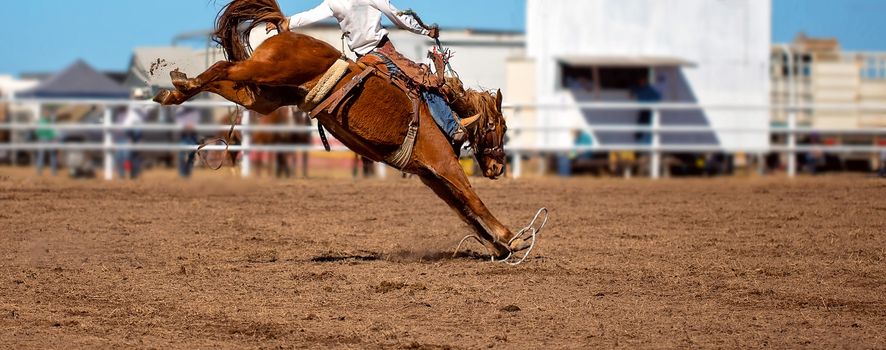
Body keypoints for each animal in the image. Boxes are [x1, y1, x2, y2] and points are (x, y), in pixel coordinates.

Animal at [153, 0, 540, 262]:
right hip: (266, 73)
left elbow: (464, 211)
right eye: (499, 126)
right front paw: (513, 238)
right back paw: (179, 83)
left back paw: (174, 89)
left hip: (265, 95)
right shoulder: (443, 164)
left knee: (229, 82)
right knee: (222, 67)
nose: (498, 167)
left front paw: (498, 246)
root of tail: (286, 32)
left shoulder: (429, 174)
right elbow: (473, 200)